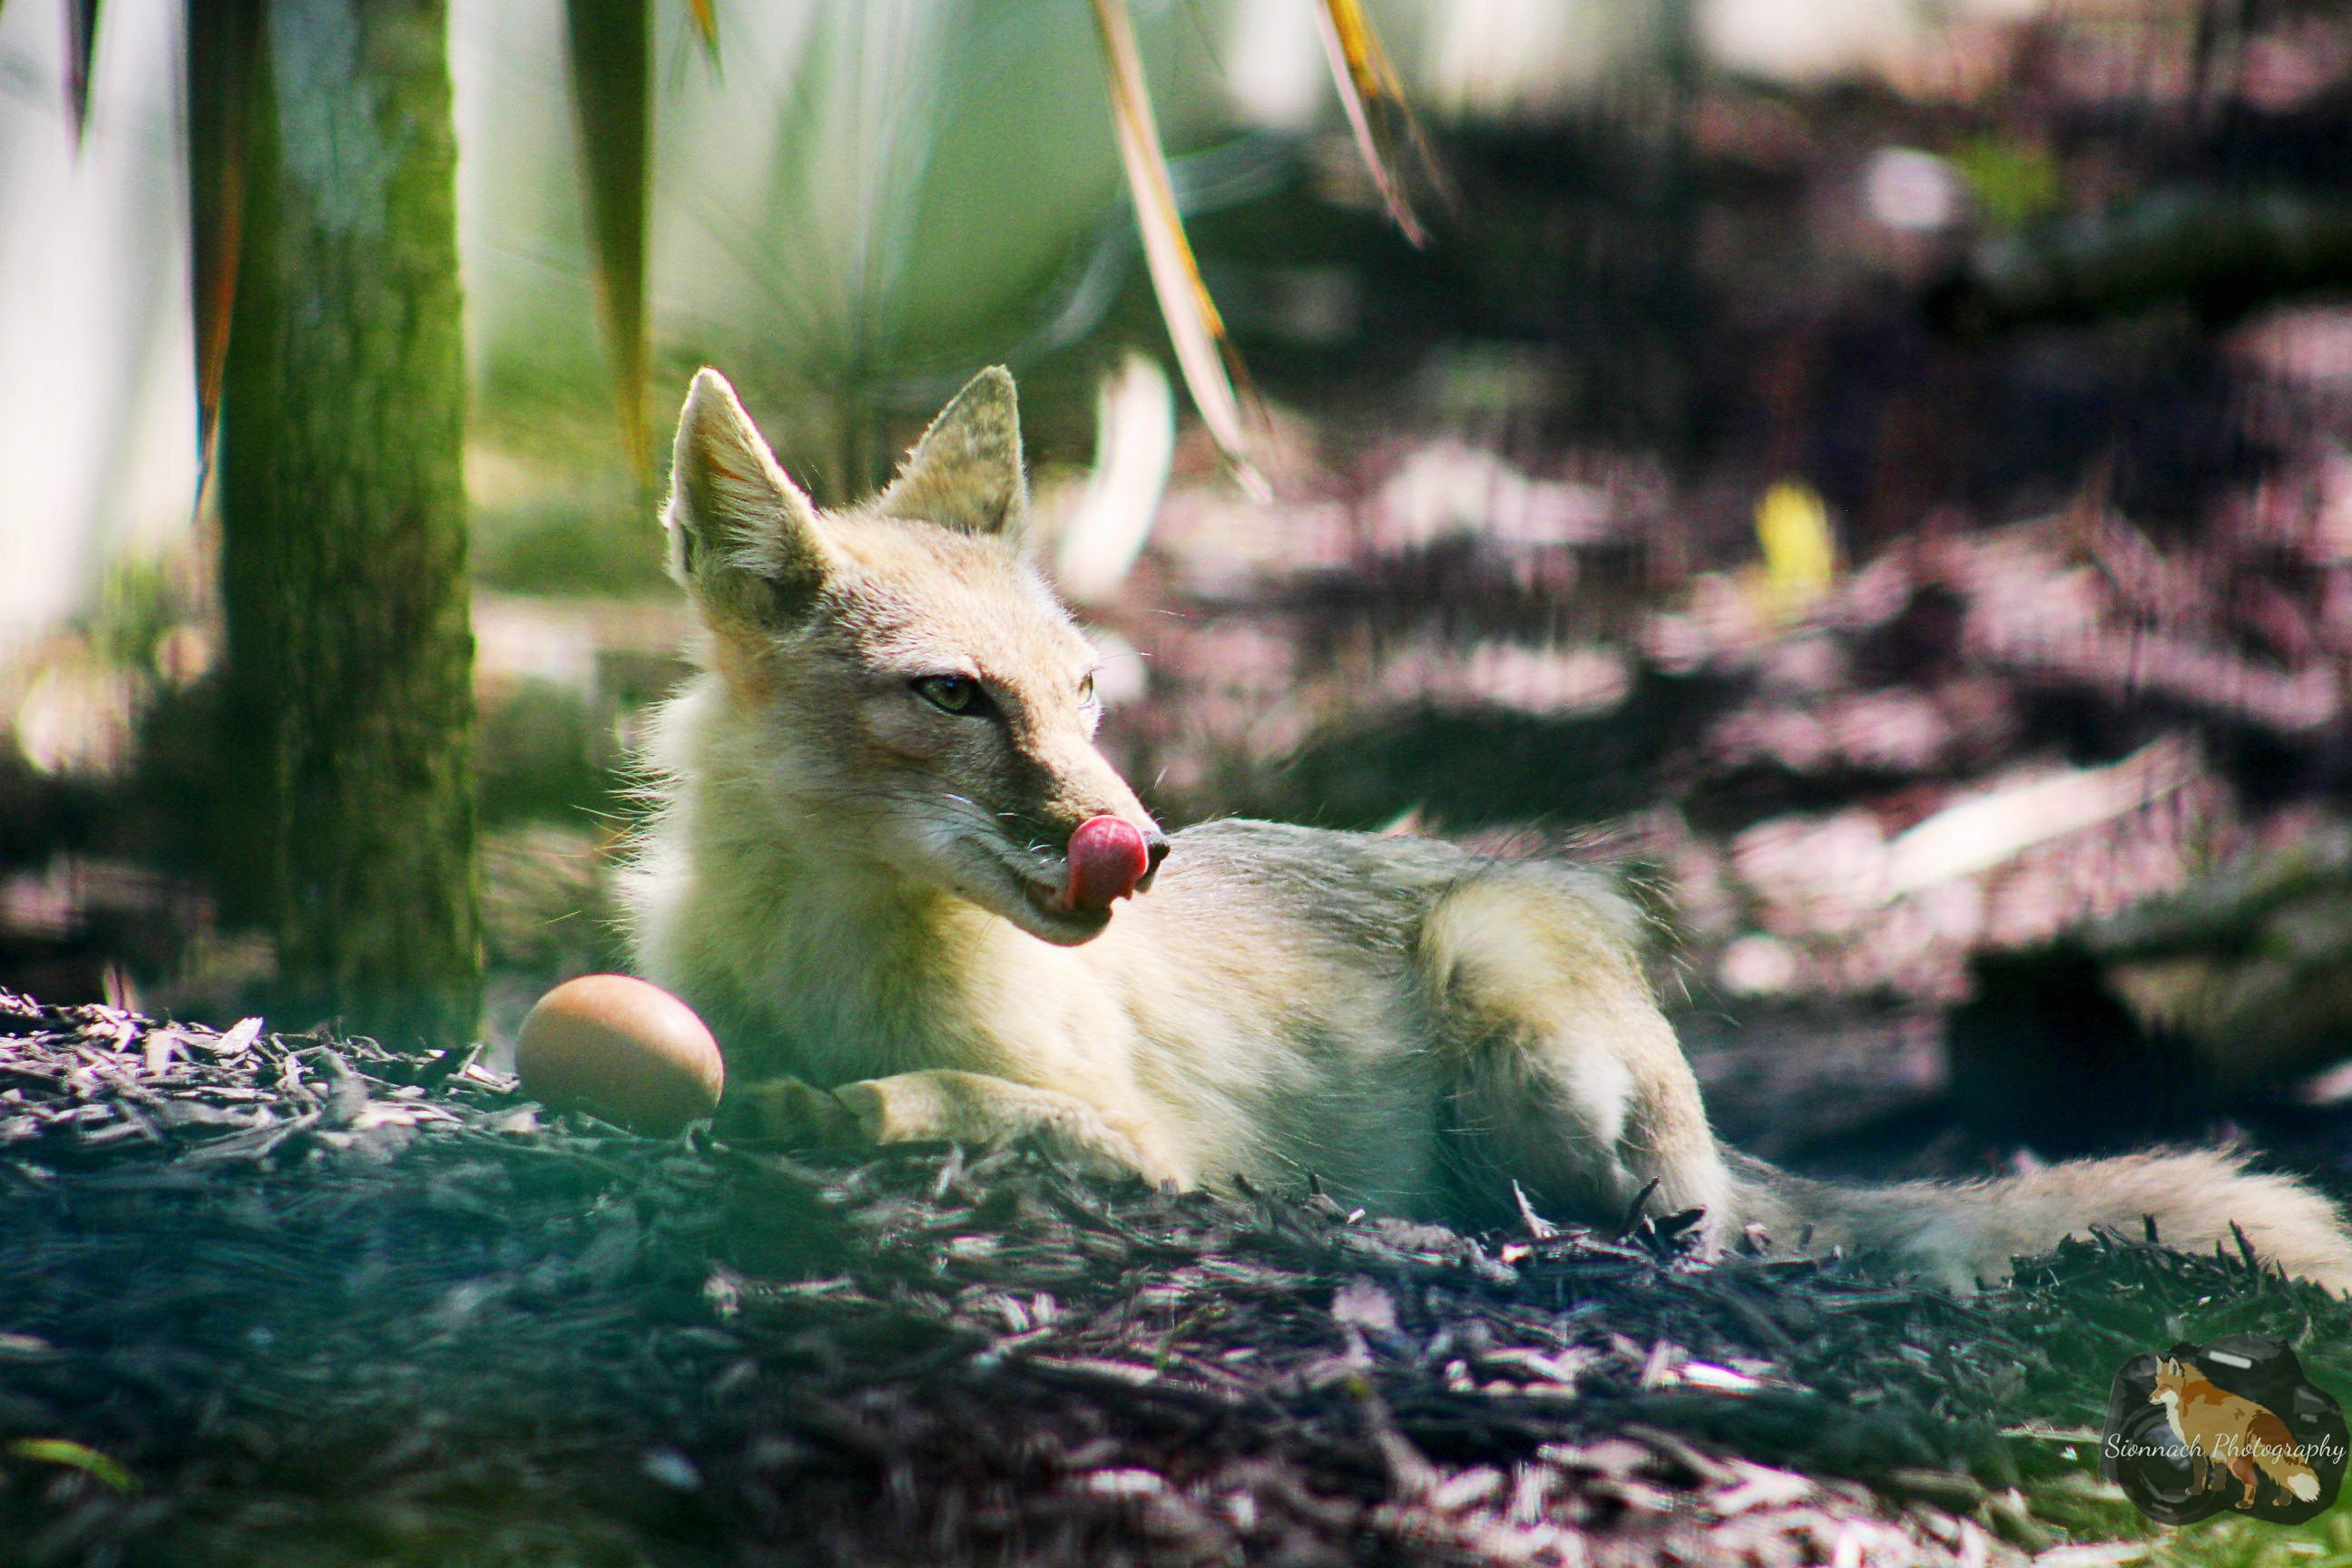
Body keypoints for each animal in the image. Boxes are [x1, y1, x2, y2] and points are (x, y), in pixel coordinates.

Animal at [621, 361, 2352, 1298]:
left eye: (1088, 691)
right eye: (956, 697)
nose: (1143, 849)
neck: (834, 968)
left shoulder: (1169, 1154)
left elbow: (958, 1099)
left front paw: (836, 1110)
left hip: (1517, 1014)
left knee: (1694, 1233)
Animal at [2154, 1363, 2323, 1504]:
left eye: (2164, 1386)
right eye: (2156, 1384)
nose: (2150, 1398)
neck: (2185, 1397)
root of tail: (2265, 1416)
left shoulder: (2196, 1445)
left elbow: (2199, 1472)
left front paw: (2195, 1491)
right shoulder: (2216, 1449)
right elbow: (2220, 1472)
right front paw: (2217, 1487)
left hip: (2236, 1461)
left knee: (2253, 1481)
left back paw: (2245, 1504)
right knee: (2281, 1480)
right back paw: (2283, 1502)